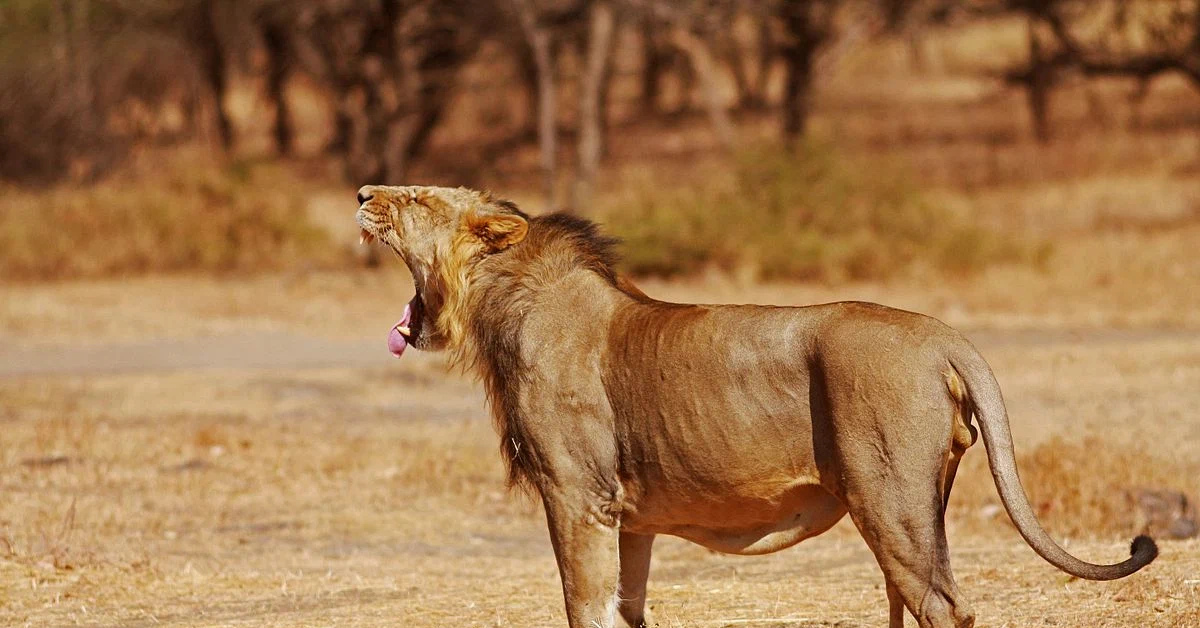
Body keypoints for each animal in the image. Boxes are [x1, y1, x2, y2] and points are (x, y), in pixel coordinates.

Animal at [352, 184, 1152, 628]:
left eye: (417, 198)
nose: (361, 192)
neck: (500, 303)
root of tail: (944, 335)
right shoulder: (630, 517)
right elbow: (627, 608)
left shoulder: (576, 498)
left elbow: (583, 607)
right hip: (917, 502)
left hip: (887, 497)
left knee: (944, 607)